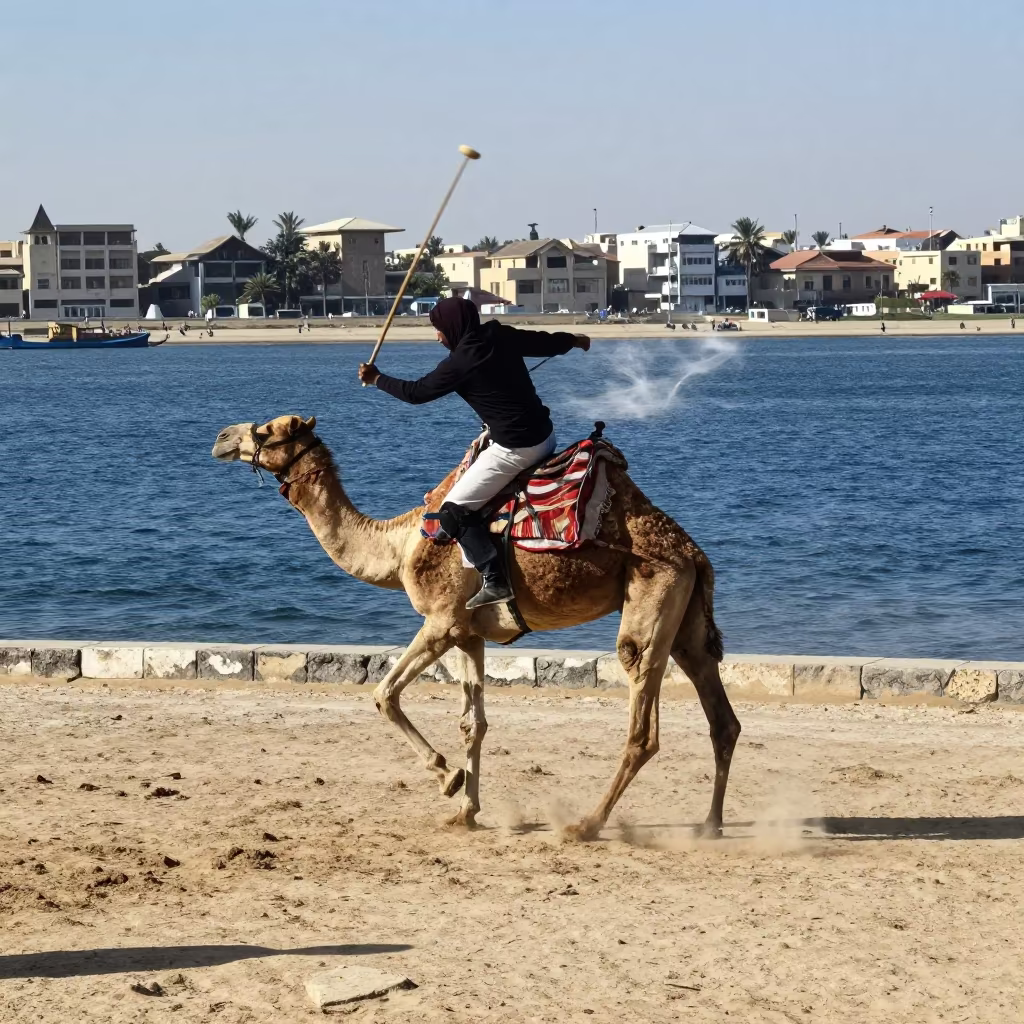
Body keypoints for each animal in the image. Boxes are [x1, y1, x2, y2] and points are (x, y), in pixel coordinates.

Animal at [211, 414, 740, 838]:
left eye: (266, 430)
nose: (220, 438)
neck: (399, 548)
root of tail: (694, 555)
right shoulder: (470, 634)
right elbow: (474, 723)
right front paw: (465, 811)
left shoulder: (441, 621)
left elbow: (385, 694)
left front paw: (447, 778)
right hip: (687, 624)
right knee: (722, 719)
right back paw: (710, 825)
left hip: (650, 595)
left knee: (642, 719)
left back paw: (586, 825)